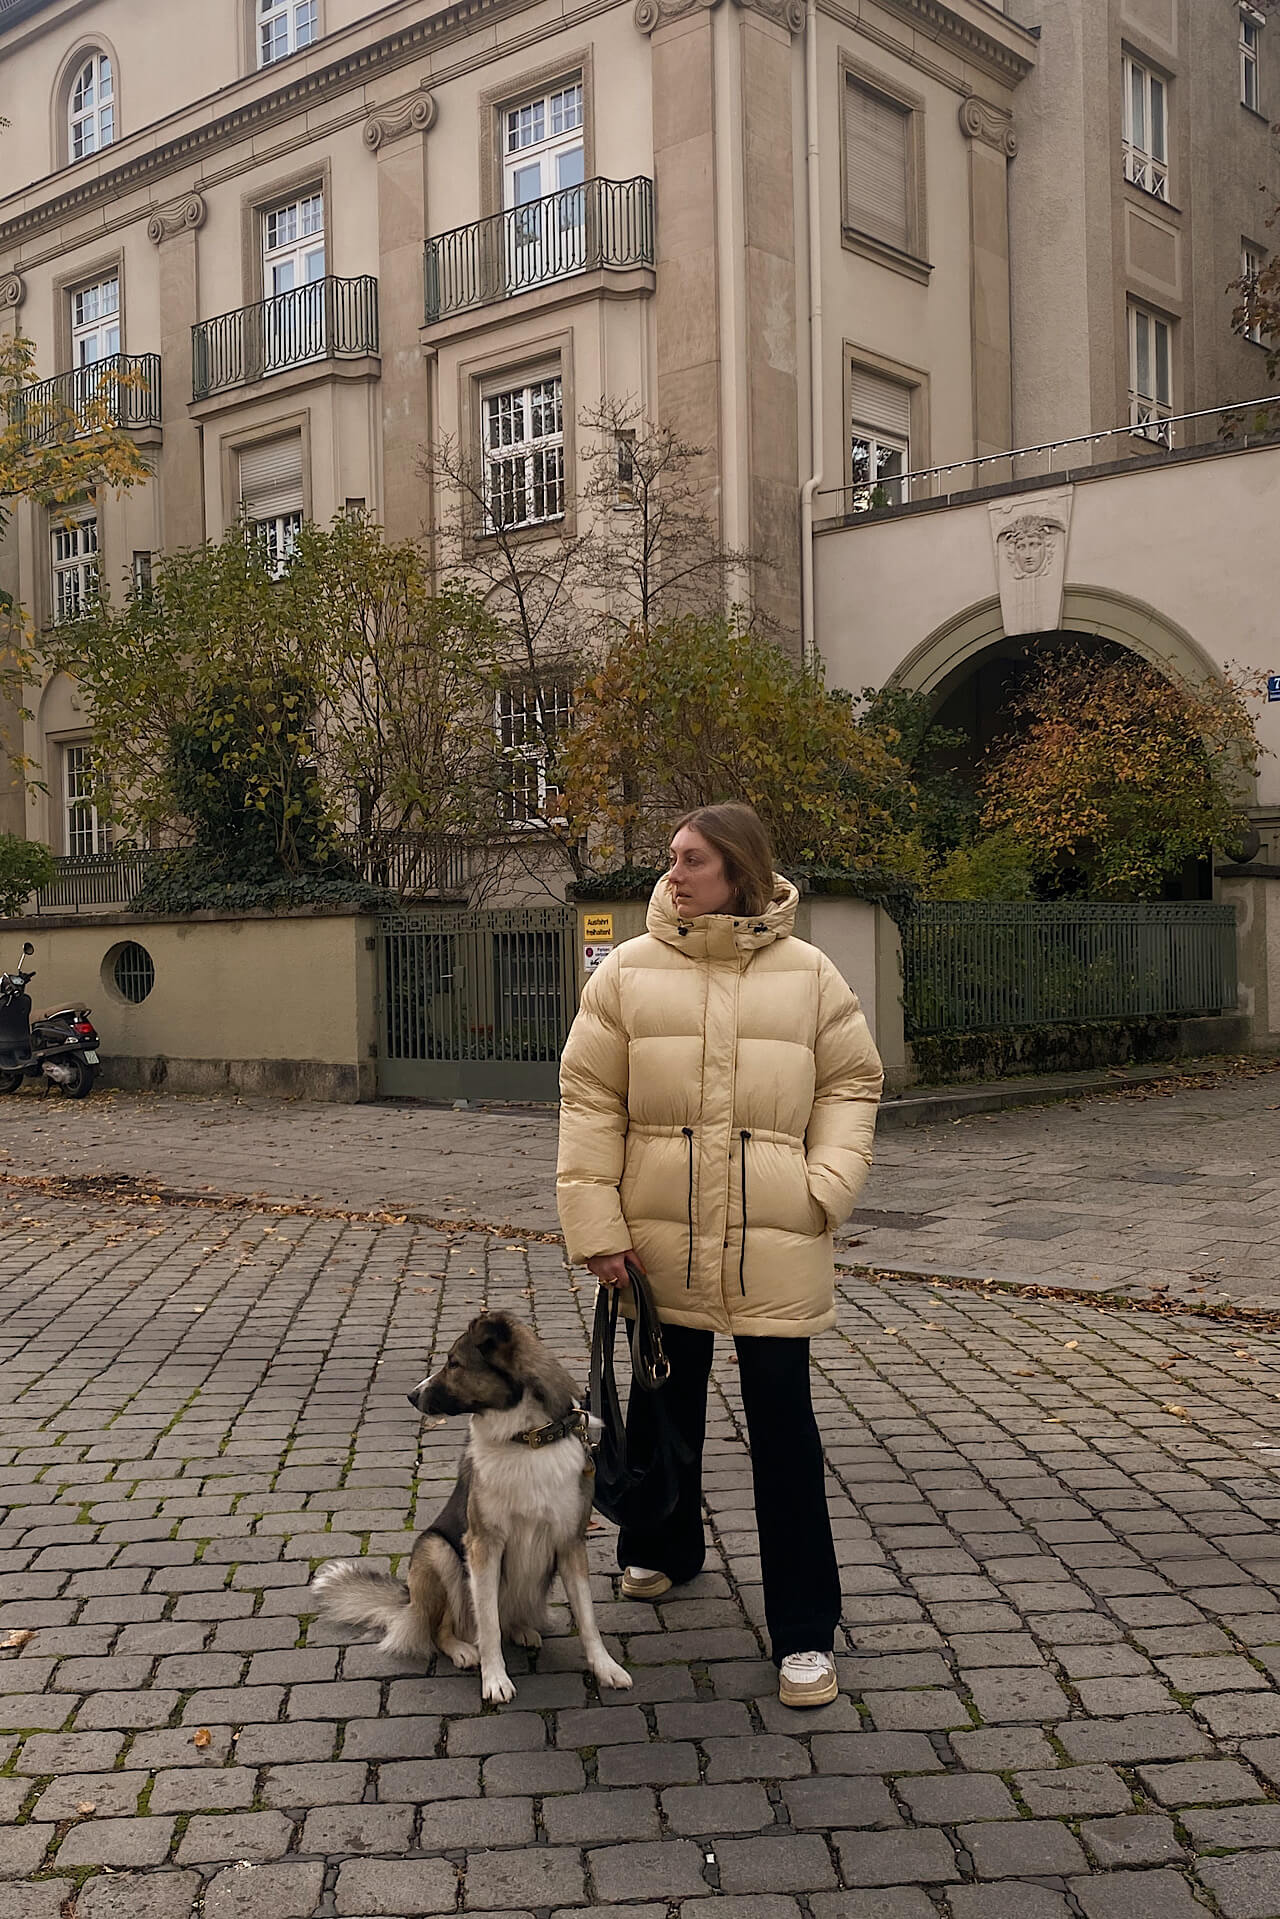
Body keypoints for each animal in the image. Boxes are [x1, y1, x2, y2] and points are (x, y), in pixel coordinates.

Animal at [310, 1312, 629, 1704]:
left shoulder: (571, 1543)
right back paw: (463, 1650)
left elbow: (587, 1619)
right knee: (442, 1629)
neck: (527, 1440)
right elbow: (487, 1624)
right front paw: (494, 1680)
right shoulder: (482, 1544)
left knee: (506, 1618)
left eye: (454, 1364)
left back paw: (522, 1629)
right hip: (438, 1551)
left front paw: (605, 1667)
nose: (411, 1395)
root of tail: (408, 1600)